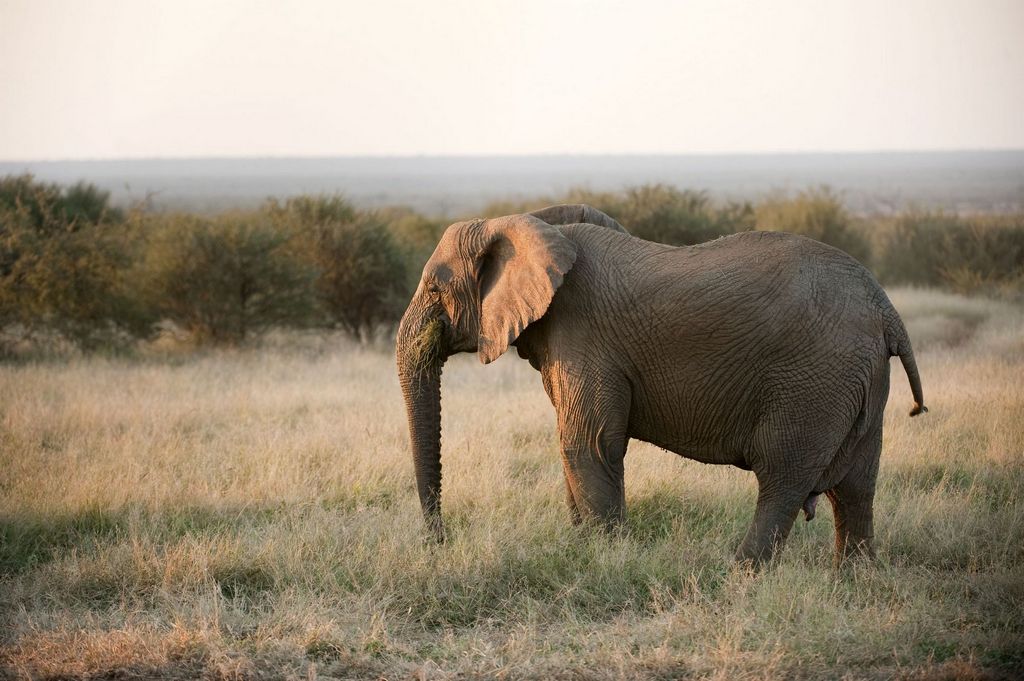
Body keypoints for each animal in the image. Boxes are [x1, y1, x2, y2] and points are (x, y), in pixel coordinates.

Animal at [393, 201, 929, 561]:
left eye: (435, 287)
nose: (439, 541)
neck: (527, 221)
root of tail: (886, 309)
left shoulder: (586, 335)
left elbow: (586, 442)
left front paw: (604, 561)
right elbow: (575, 445)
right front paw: (581, 548)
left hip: (813, 381)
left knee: (783, 478)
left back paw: (739, 574)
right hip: (857, 380)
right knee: (856, 485)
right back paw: (851, 580)